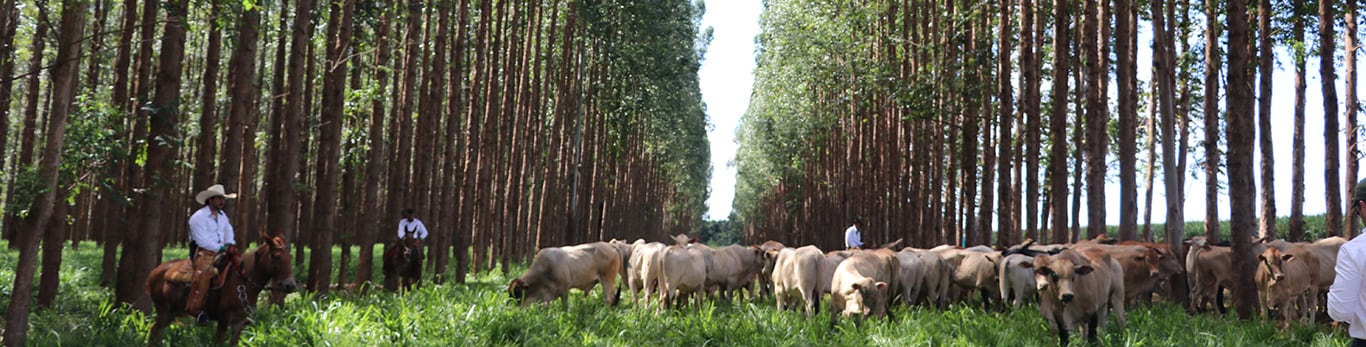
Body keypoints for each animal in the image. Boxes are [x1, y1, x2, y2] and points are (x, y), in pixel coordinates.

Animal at [146, 232, 299, 345]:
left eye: (290, 256)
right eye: (275, 256)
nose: (290, 285)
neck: (243, 283)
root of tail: (155, 272)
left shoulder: (239, 321)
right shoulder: (224, 319)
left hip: (171, 314)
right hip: (164, 311)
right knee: (153, 331)